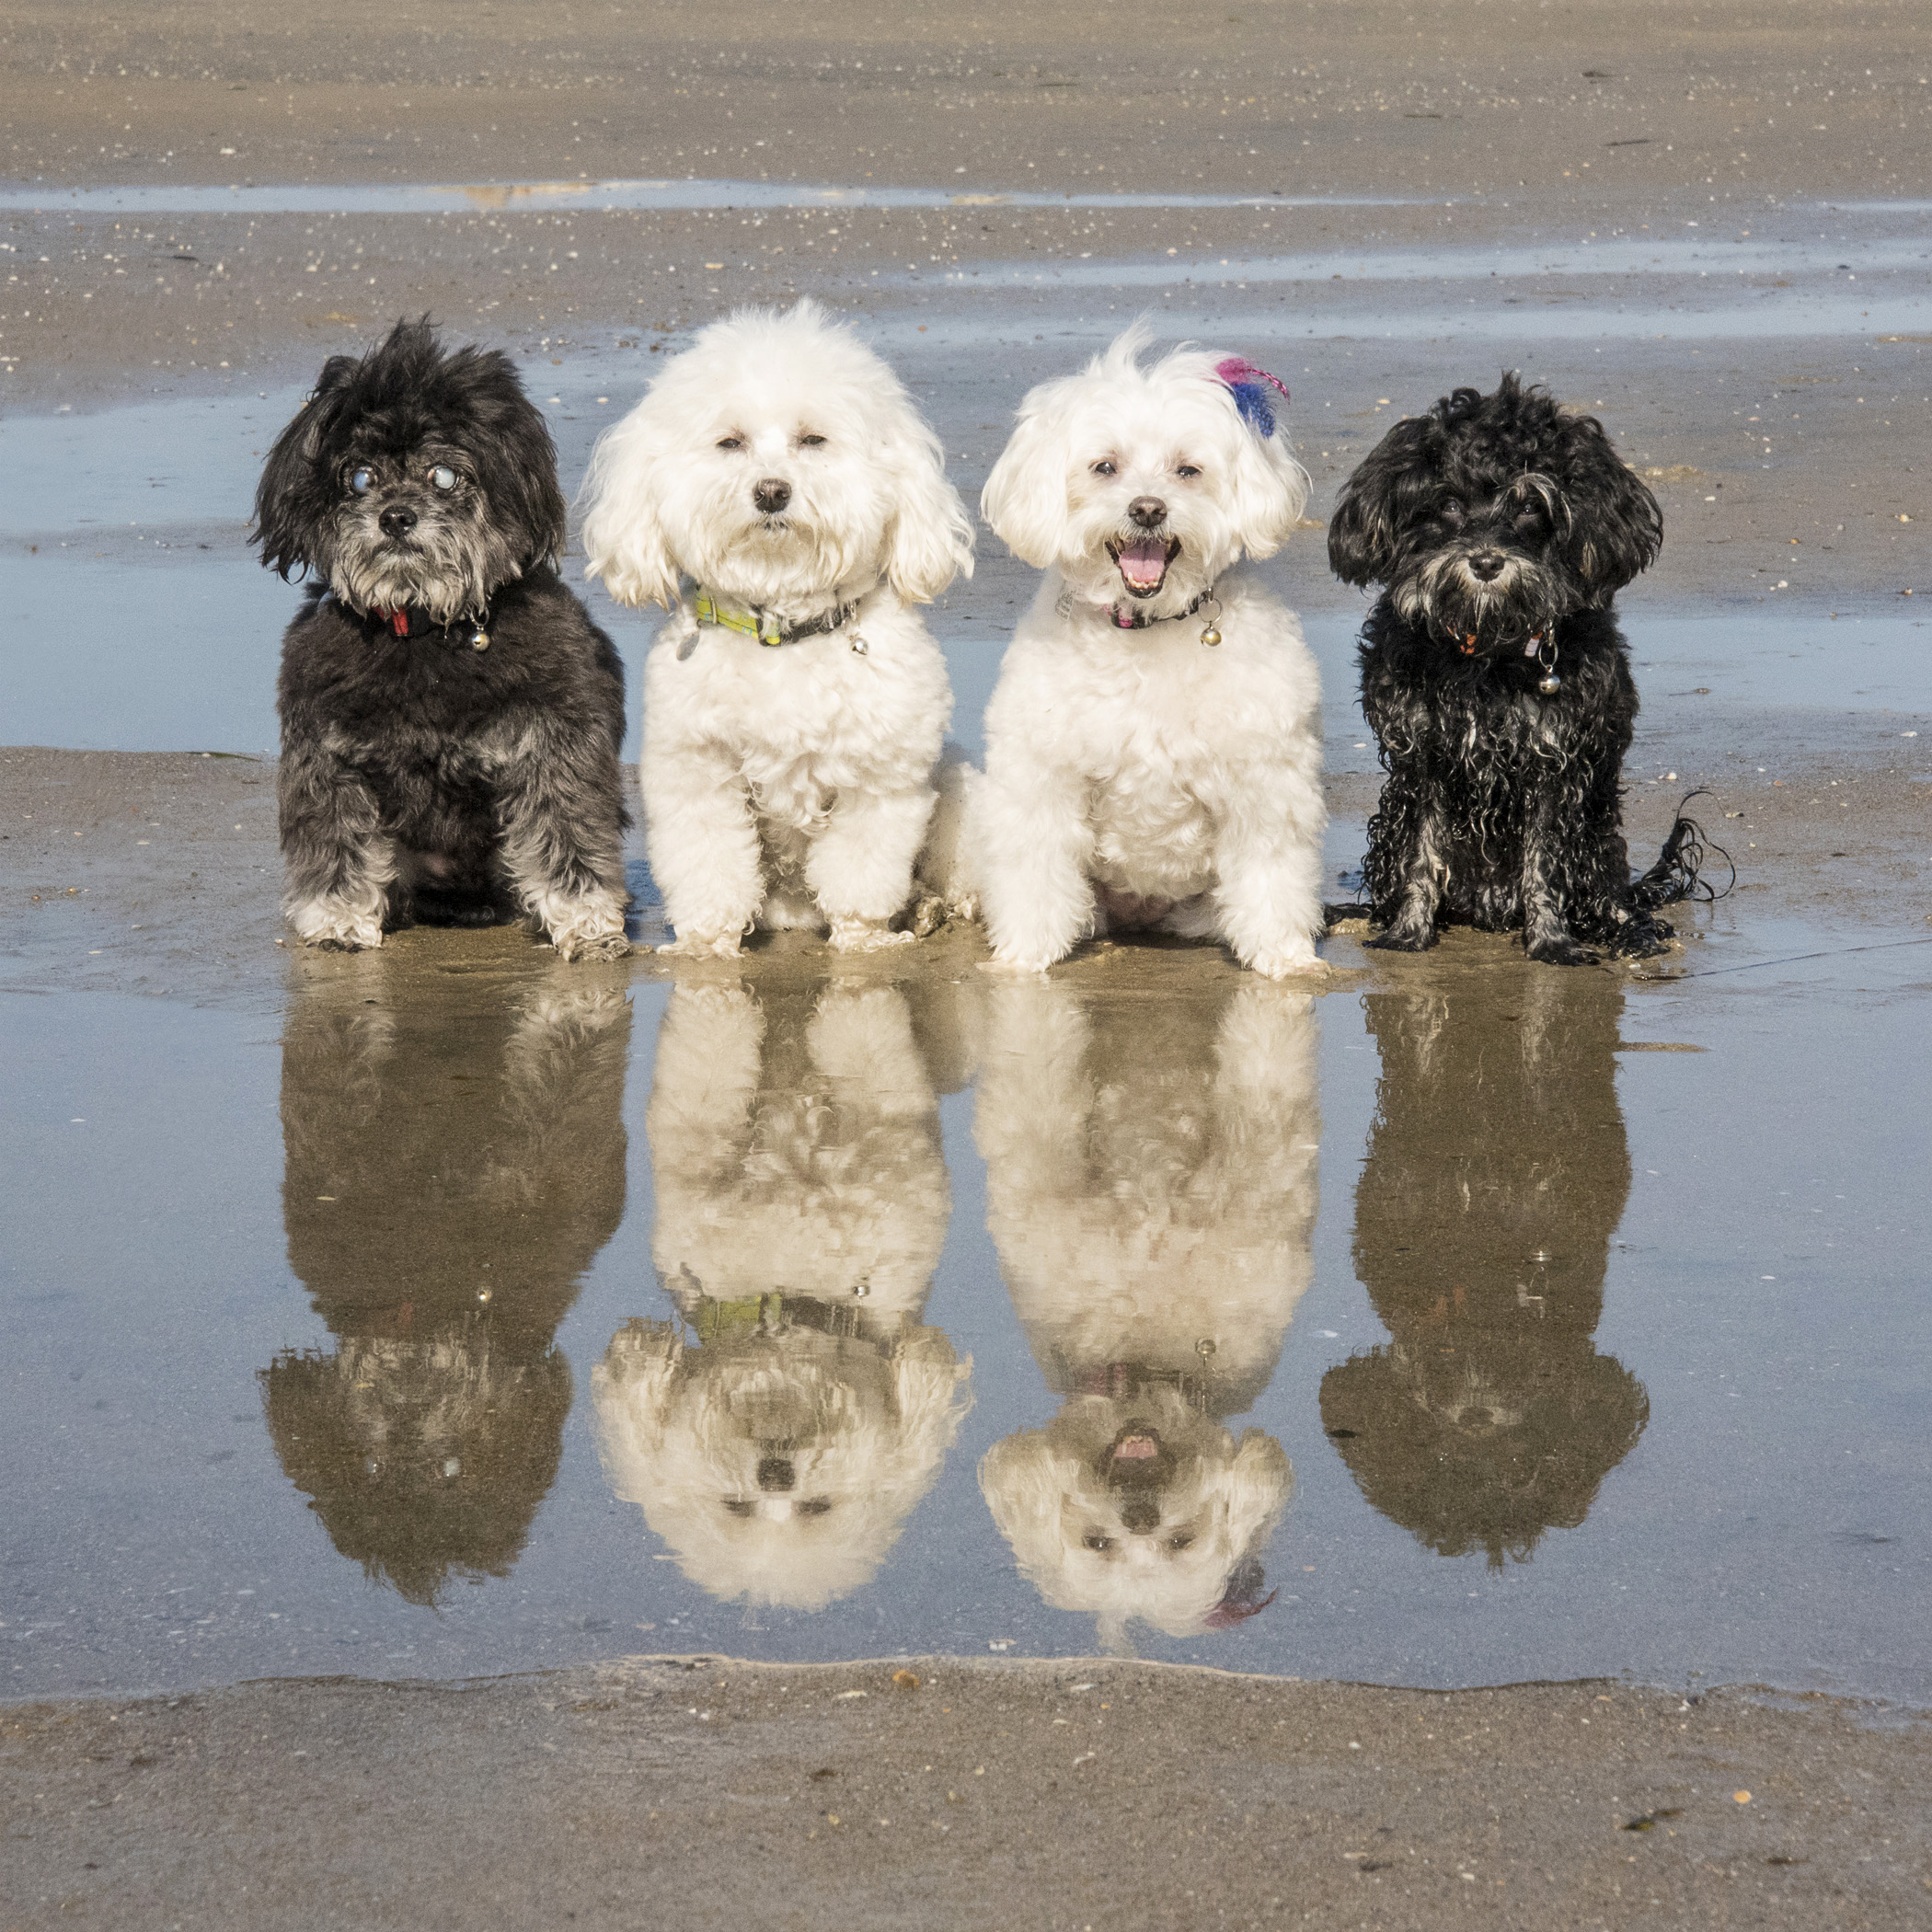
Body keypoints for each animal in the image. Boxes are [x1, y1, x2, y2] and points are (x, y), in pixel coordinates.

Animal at [253, 316, 629, 966]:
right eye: (360, 477)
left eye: (444, 475)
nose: (396, 517)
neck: (423, 627)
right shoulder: (328, 759)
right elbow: (338, 845)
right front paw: (337, 919)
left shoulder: (554, 747)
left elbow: (567, 835)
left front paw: (586, 922)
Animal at [571, 297, 966, 954]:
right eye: (730, 442)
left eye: (813, 439)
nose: (772, 491)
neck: (782, 630)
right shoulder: (697, 773)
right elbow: (710, 868)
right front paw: (707, 947)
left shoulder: (879, 778)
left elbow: (860, 873)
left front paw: (862, 942)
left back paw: (935, 907)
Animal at [966, 328, 1328, 981]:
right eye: (1104, 466)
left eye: (1188, 470)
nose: (1148, 508)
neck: (1146, 627)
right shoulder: (1043, 780)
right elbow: (1035, 872)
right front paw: (1024, 955)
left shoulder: (1263, 783)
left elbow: (1271, 871)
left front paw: (1285, 957)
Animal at [973, 981, 1321, 1646]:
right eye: (1096, 1542)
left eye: (1181, 1541)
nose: (1139, 1514)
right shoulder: (1047, 1219)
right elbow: (1038, 1108)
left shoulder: (1249, 1239)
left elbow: (1260, 1124)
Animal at [1328, 373, 1692, 961]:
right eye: (1450, 503)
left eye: (1528, 507)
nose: (1485, 561)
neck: (1488, 651)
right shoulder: (1423, 757)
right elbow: (1421, 855)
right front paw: (1408, 934)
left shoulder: (1555, 760)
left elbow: (1544, 861)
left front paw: (1552, 942)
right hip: (1388, 824)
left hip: (1598, 833)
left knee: (1608, 894)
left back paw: (1632, 929)